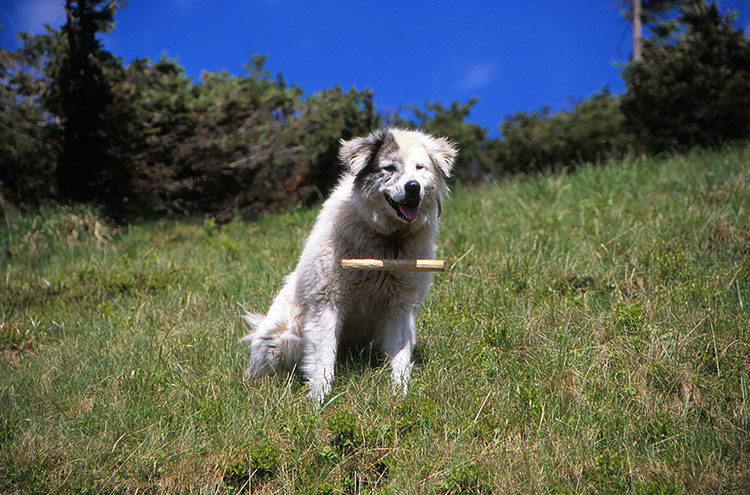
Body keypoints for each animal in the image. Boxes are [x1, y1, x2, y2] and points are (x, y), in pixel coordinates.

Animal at [244, 128, 462, 404]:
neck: (388, 240)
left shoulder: (401, 306)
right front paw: (319, 399)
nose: (413, 187)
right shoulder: (326, 303)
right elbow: (323, 356)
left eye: (420, 167)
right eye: (389, 168)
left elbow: (400, 356)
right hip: (286, 334)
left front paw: (399, 393)